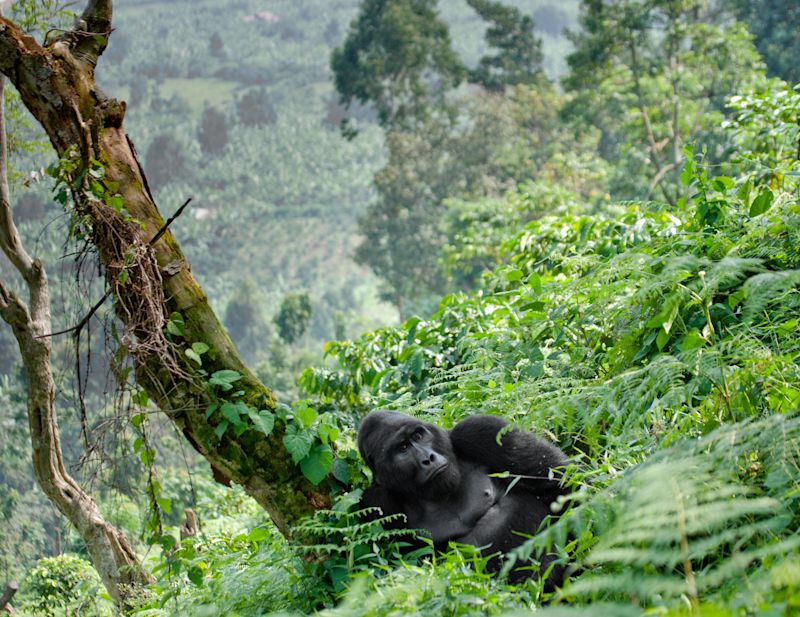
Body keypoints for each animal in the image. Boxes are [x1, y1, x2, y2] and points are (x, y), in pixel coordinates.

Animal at [356, 412, 568, 584]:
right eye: (403, 448)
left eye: (418, 436)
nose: (428, 459)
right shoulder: (377, 502)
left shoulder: (479, 431)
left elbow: (559, 480)